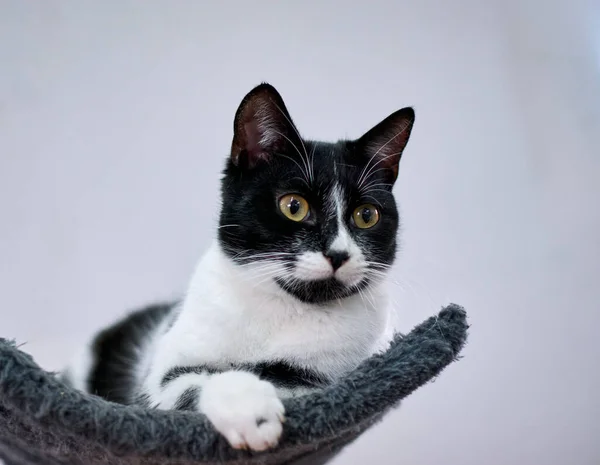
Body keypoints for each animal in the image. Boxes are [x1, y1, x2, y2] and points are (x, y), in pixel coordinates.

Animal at [63, 82, 414, 450]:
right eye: (294, 206)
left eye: (366, 215)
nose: (338, 253)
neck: (283, 308)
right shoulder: (160, 377)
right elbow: (192, 380)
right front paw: (251, 410)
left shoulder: (329, 377)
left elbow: (287, 381)